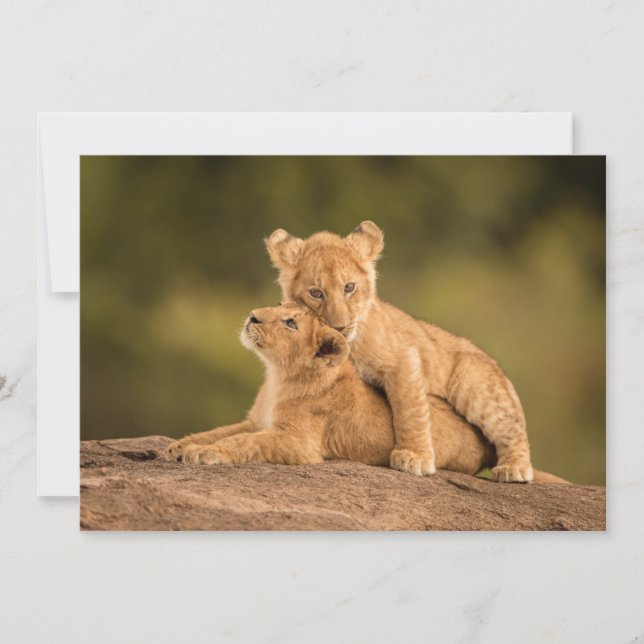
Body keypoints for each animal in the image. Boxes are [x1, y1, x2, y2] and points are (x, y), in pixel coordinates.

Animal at [164, 303, 566, 484]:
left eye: (291, 322)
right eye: (277, 306)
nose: (251, 316)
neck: (278, 375)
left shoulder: (298, 443)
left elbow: (242, 443)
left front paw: (203, 454)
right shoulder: (253, 420)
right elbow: (219, 432)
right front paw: (179, 447)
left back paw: (512, 469)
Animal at [265, 221, 534, 483]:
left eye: (349, 287)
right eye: (316, 293)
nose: (340, 326)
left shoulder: (403, 358)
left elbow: (409, 411)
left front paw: (414, 457)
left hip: (473, 380)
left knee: (512, 427)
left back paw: (514, 468)